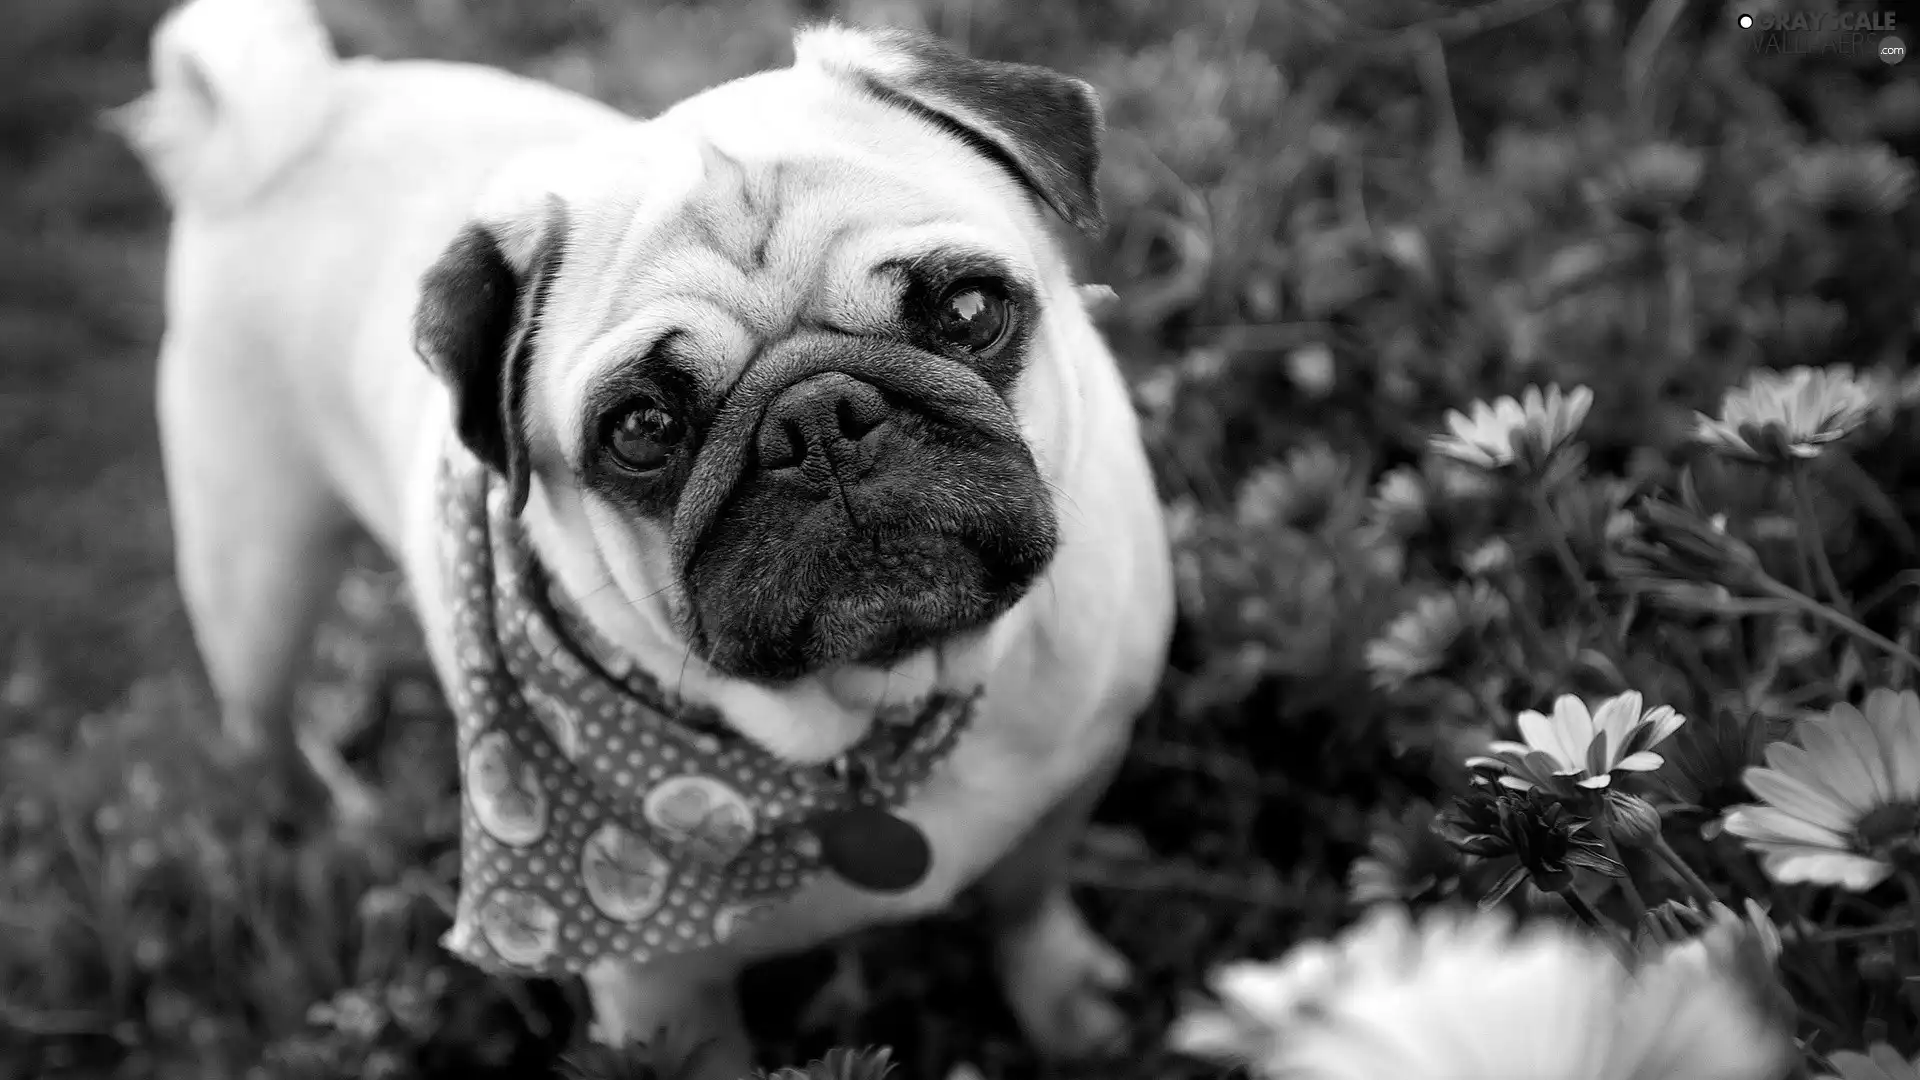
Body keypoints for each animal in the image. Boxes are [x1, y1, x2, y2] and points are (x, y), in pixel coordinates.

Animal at [120, 0, 1175, 1060]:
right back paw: (334, 829)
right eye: (641, 429)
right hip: (255, 572)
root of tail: (306, 112)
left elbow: (1027, 898)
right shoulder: (663, 1000)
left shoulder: (1074, 775)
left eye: (968, 310)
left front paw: (1067, 1004)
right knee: (261, 724)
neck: (875, 716)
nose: (816, 421)